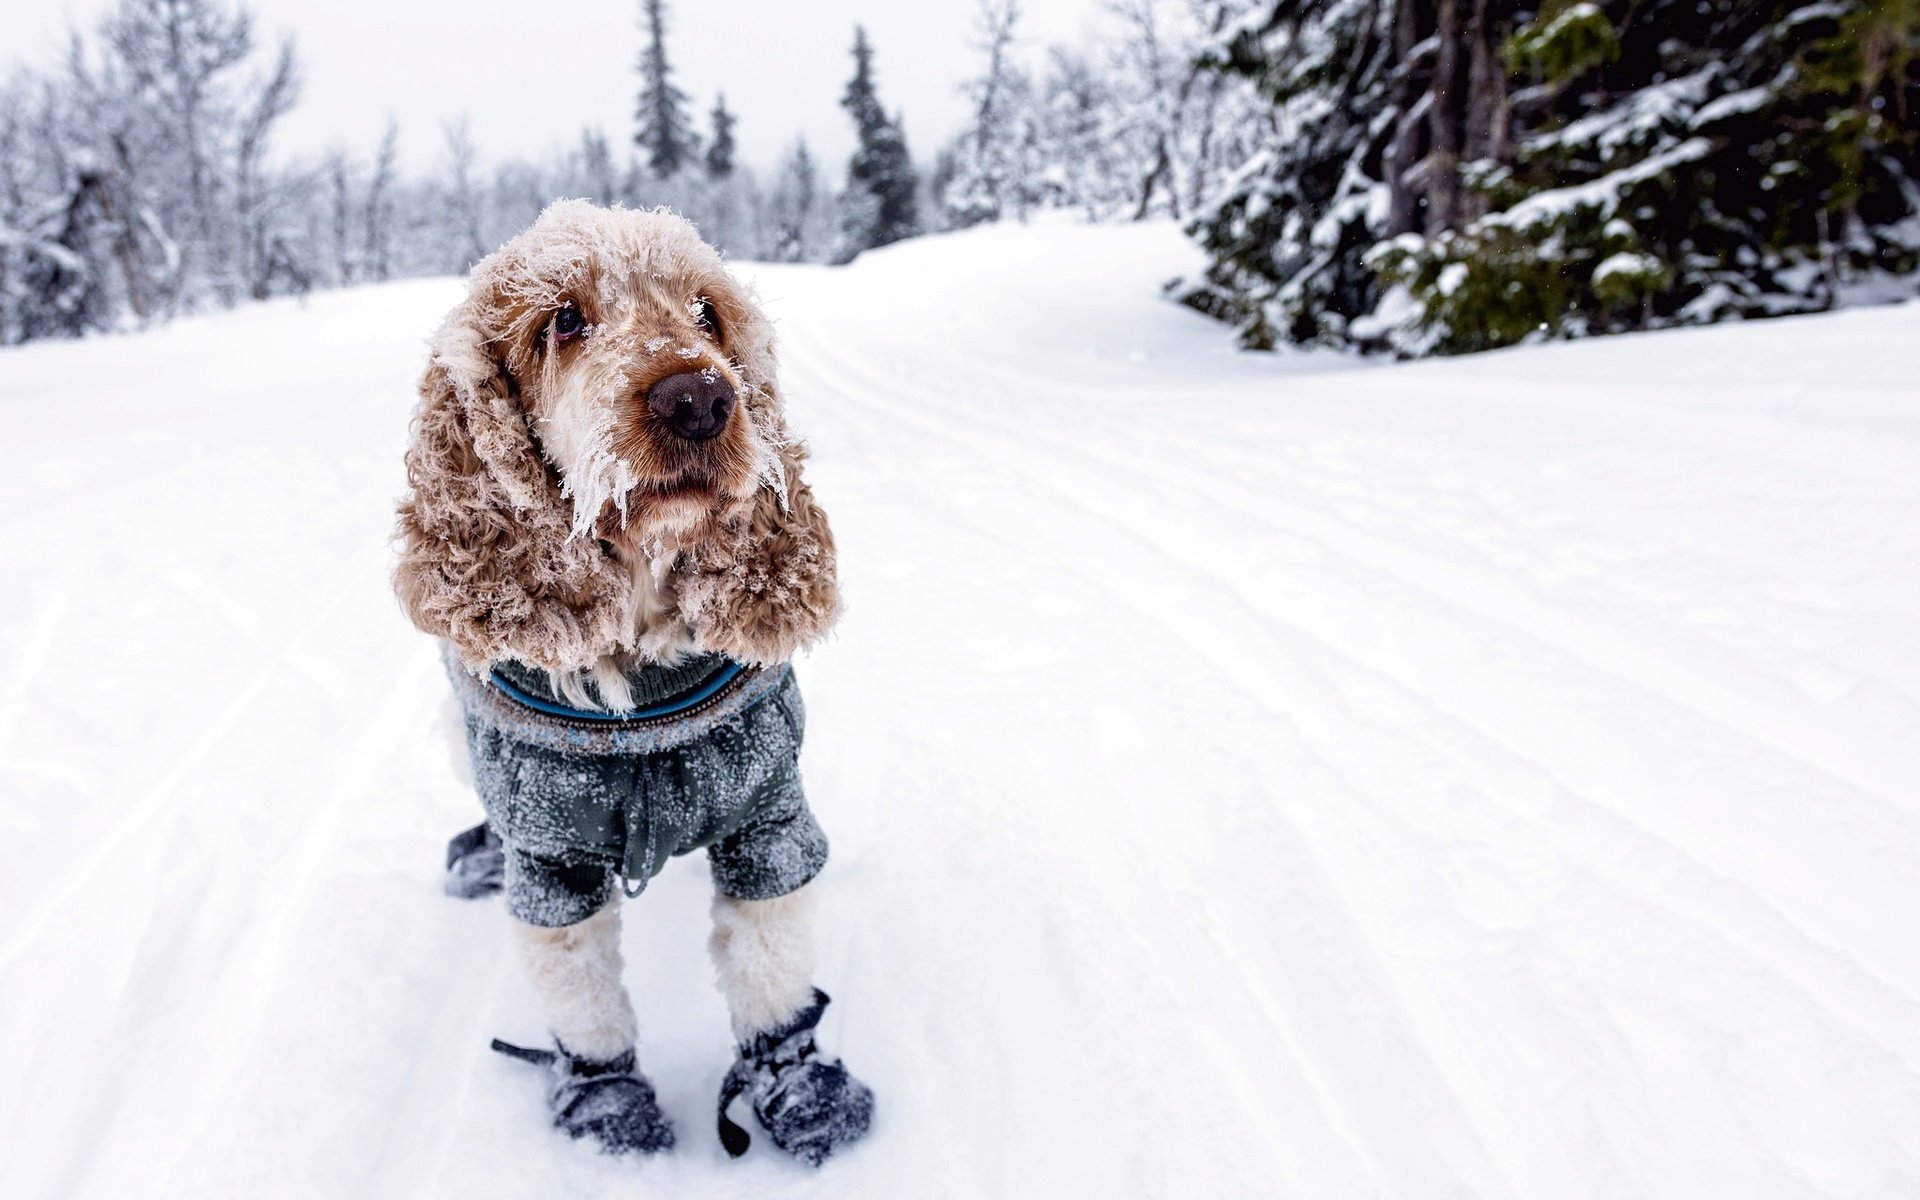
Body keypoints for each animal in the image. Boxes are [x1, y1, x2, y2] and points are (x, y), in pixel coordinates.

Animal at [393, 201, 875, 1167]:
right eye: (562, 320)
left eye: (707, 313)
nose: (700, 399)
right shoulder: (553, 861)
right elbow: (585, 1002)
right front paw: (605, 1103)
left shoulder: (767, 817)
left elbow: (771, 971)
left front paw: (799, 1085)